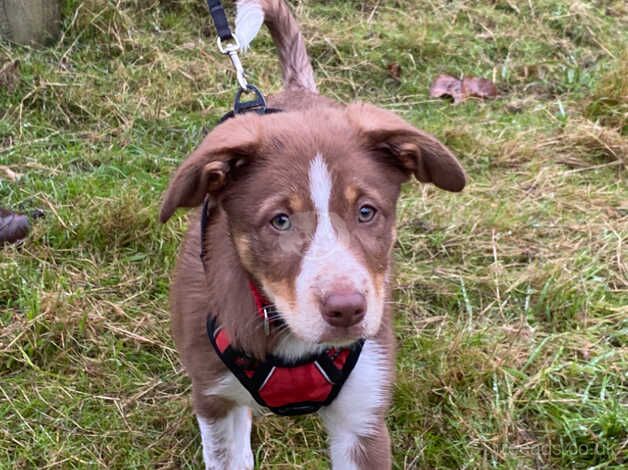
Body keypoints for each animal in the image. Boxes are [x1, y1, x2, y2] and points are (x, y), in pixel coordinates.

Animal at [162, 1, 466, 468]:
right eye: (280, 221)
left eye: (366, 212)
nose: (347, 310)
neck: (288, 337)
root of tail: (295, 93)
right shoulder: (214, 399)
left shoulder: (363, 417)